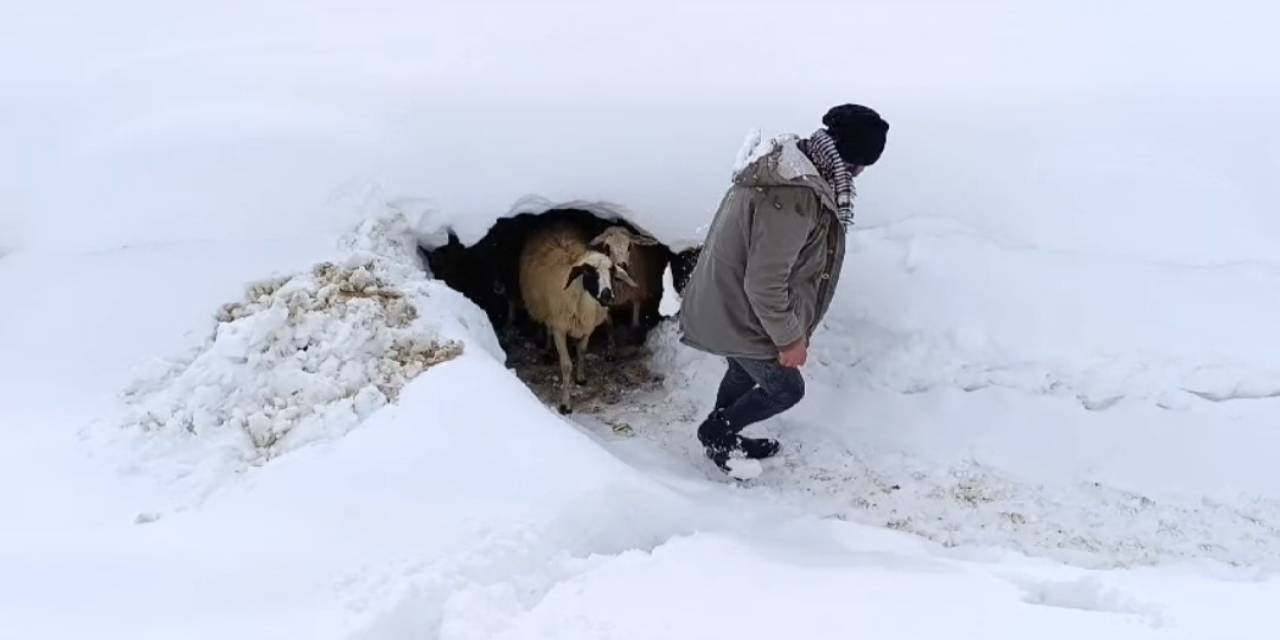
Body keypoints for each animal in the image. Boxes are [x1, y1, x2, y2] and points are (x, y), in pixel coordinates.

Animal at [512, 222, 627, 412]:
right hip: (547, 309)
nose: (607, 296)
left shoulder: (587, 328)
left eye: (611, 272)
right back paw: (547, 350)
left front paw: (580, 378)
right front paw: (565, 404)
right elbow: (566, 365)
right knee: (547, 327)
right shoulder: (560, 328)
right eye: (589, 273)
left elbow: (582, 351)